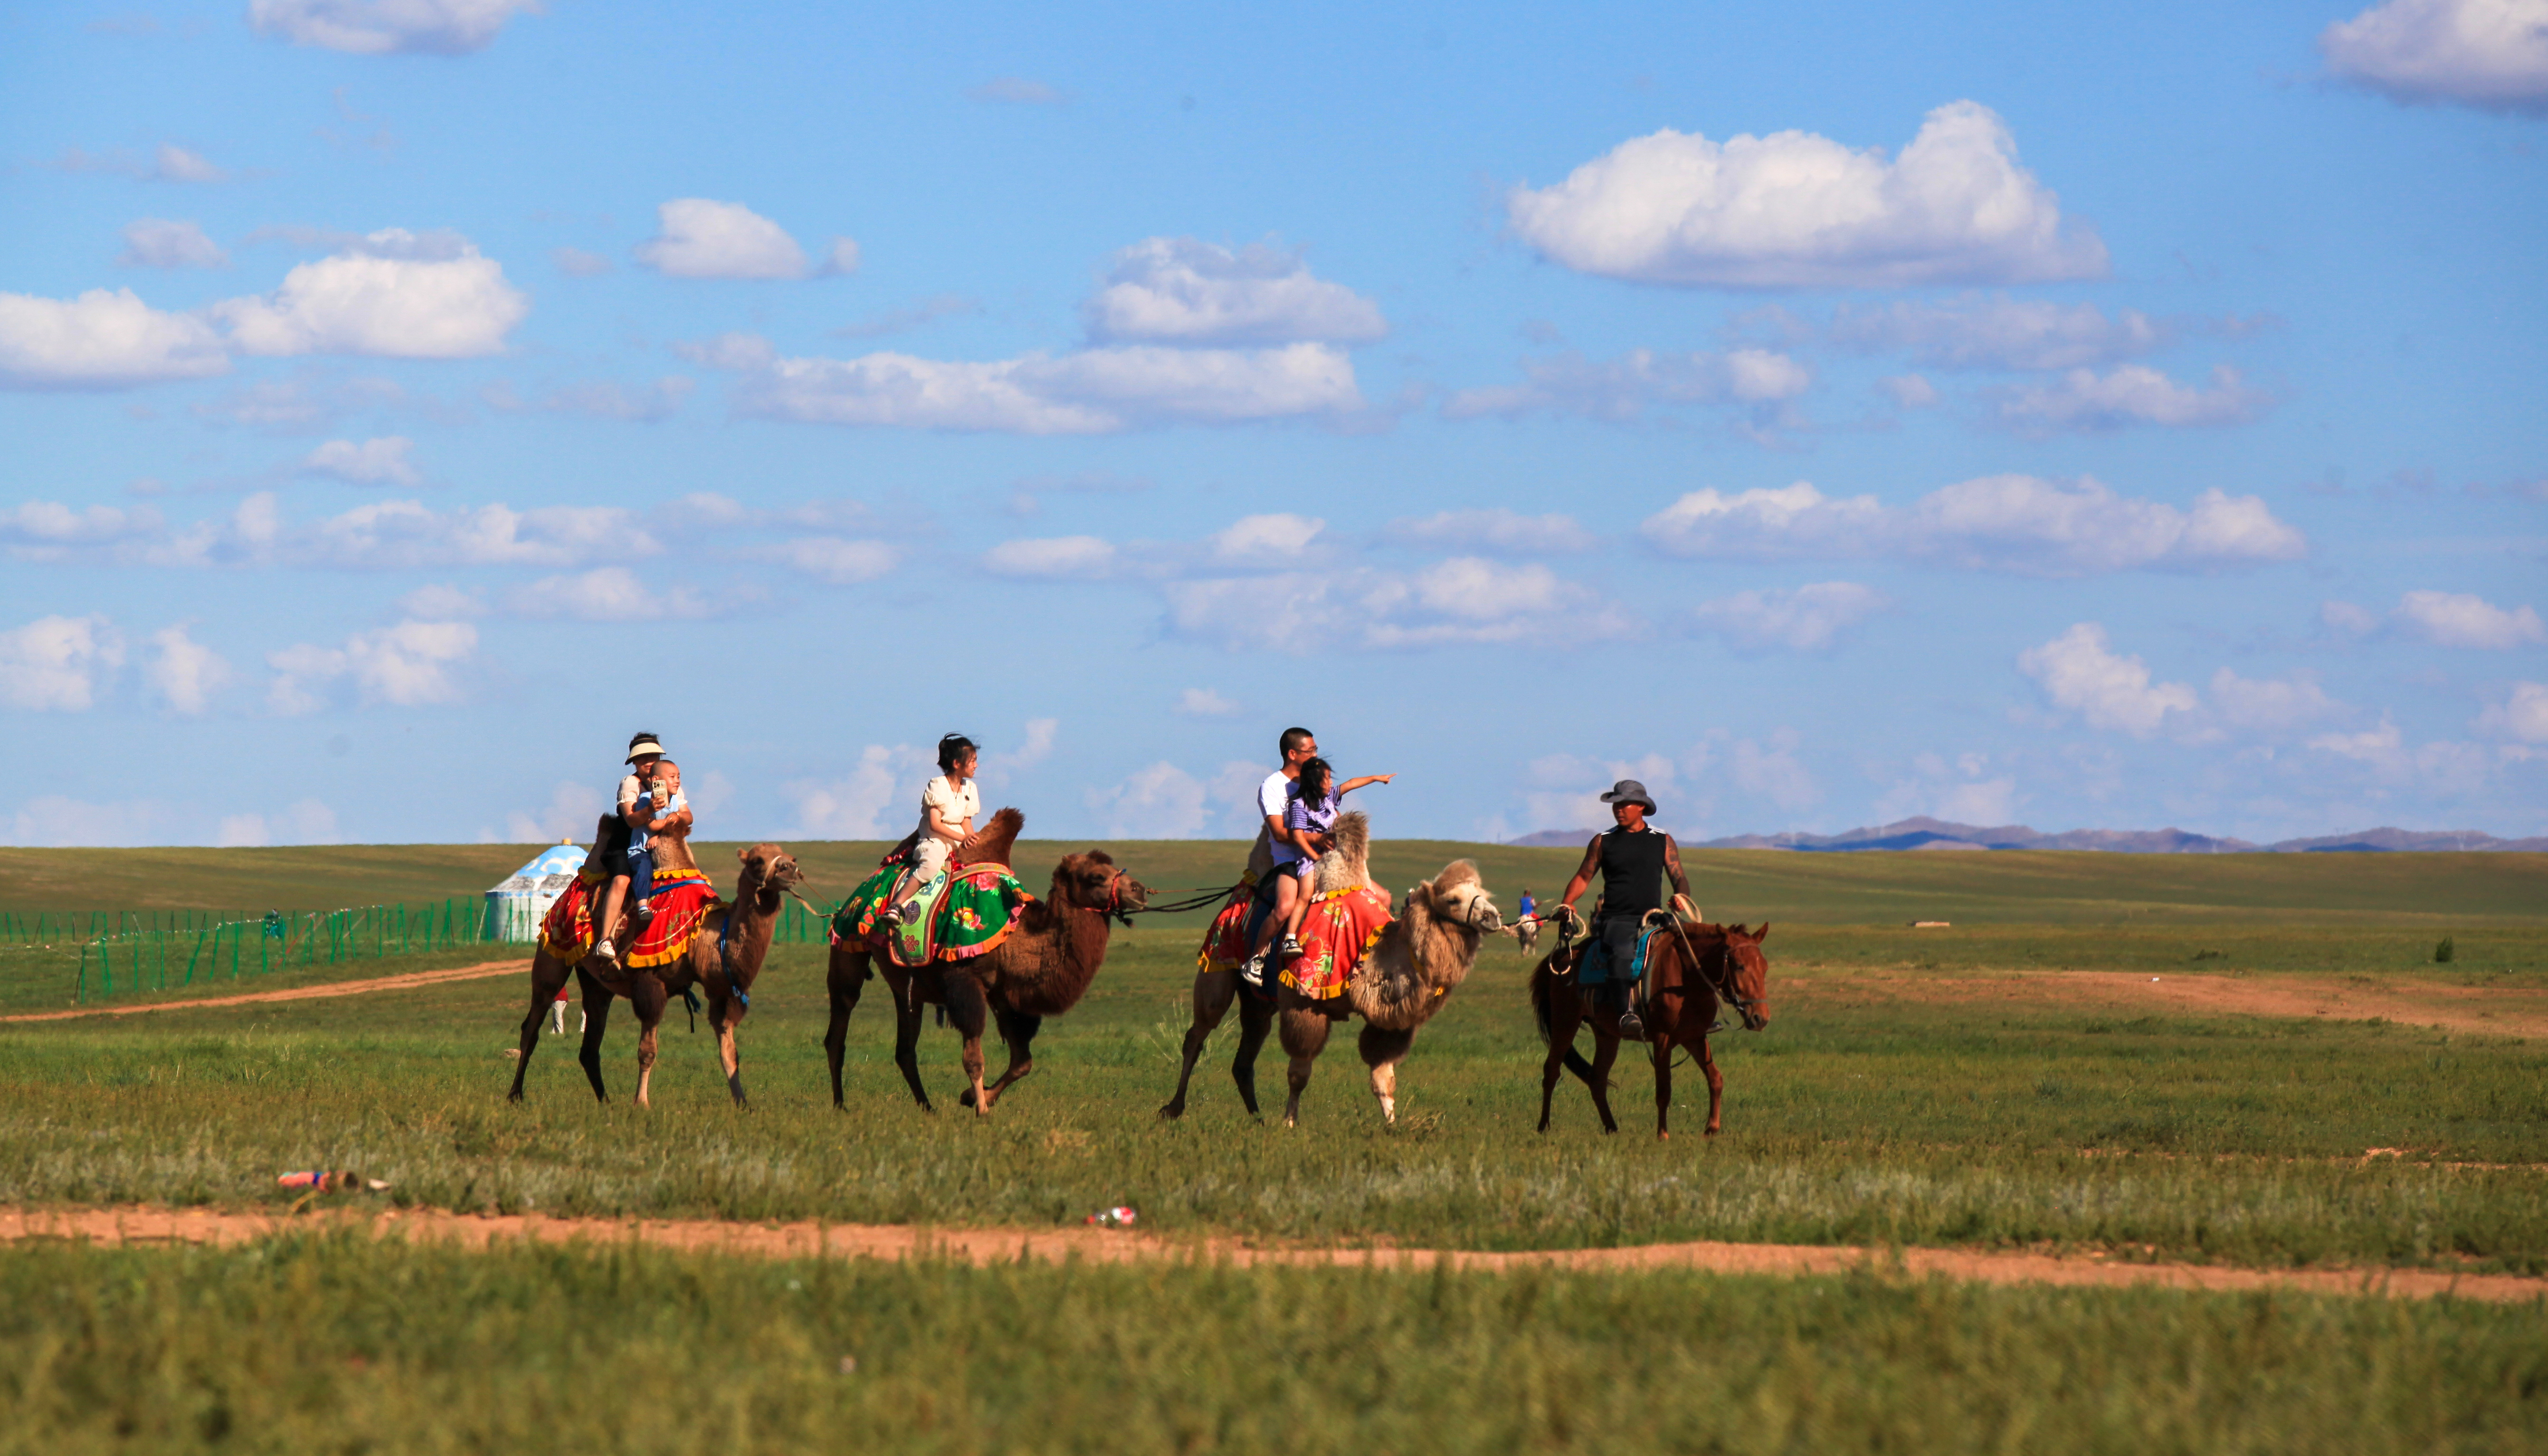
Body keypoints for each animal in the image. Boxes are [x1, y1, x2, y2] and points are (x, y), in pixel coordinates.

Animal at [504, 814, 800, 1110]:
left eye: (790, 856)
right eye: (757, 861)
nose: (791, 869)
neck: (703, 934)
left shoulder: (720, 991)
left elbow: (730, 1053)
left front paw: (743, 1104)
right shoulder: (650, 981)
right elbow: (647, 1051)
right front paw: (642, 1103)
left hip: (597, 984)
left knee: (590, 1046)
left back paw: (606, 1103)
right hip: (552, 956)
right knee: (532, 1025)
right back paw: (515, 1094)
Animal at [825, 809, 1157, 1115]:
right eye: (1096, 876)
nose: (1140, 890)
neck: (1017, 937)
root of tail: (855, 895)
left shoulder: (1007, 997)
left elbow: (1023, 1062)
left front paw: (972, 1098)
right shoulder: (966, 983)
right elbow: (974, 1058)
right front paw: (982, 1109)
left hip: (909, 986)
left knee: (905, 1048)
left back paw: (928, 1108)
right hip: (848, 942)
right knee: (839, 1024)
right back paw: (840, 1105)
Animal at [1264, 814, 1498, 1130]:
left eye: (1481, 894)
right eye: (1453, 900)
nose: (1492, 916)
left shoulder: (1388, 1019)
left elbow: (1383, 1079)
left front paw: (1392, 1124)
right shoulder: (1301, 997)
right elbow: (1298, 1073)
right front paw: (1289, 1122)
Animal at [1529, 921, 1773, 1135]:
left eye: (1765, 967)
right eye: (1739, 966)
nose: (1760, 1018)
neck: (1686, 979)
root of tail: (1561, 958)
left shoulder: (1694, 1037)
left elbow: (1716, 1080)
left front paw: (1712, 1128)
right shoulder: (1662, 1038)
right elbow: (1664, 1090)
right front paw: (1662, 1135)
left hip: (1607, 1035)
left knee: (1598, 1080)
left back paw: (1612, 1129)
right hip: (1565, 1023)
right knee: (1551, 1072)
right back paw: (1543, 1127)